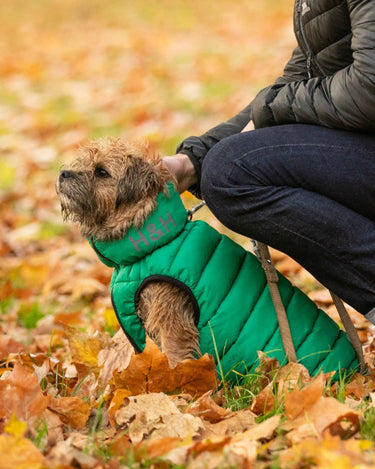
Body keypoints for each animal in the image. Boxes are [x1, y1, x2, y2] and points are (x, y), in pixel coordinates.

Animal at [57, 137, 360, 378]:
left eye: (101, 172)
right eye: (83, 162)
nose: (62, 173)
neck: (151, 244)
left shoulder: (171, 319)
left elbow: (175, 356)